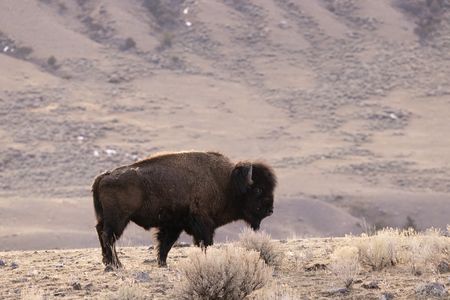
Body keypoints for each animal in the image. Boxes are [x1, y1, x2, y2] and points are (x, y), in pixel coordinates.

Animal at [92, 151, 276, 268]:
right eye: (258, 189)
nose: (270, 211)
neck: (227, 183)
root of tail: (104, 176)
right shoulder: (203, 223)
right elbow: (205, 242)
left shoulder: (174, 225)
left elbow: (165, 244)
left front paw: (162, 264)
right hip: (119, 219)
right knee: (108, 236)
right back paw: (116, 264)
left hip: (106, 218)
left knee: (101, 232)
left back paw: (108, 262)